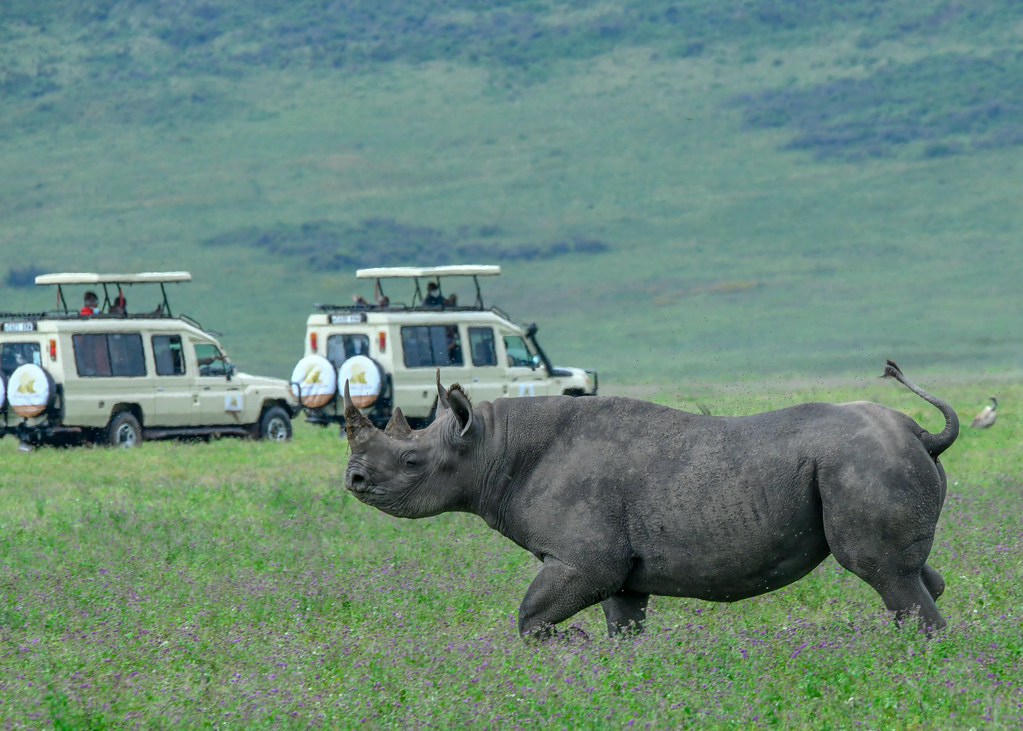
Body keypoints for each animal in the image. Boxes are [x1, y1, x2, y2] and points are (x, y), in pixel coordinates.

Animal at [342, 361, 958, 638]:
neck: (490, 448)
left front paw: (574, 643)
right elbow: (625, 626)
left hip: (861, 463)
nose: (353, 480)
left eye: (411, 462)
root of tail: (923, 434)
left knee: (882, 573)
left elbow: (529, 617)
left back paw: (916, 660)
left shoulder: (585, 559)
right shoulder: (618, 569)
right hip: (868, 462)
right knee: (910, 573)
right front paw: (623, 672)